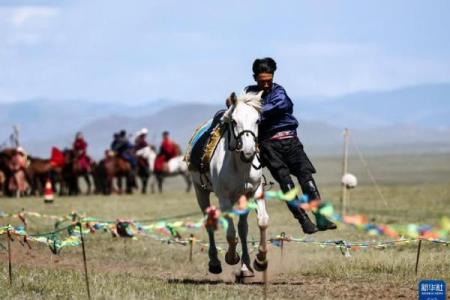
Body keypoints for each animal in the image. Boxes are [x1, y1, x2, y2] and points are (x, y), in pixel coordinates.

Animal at [189, 92, 268, 278]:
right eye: (234, 121)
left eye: (257, 120)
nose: (248, 151)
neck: (240, 166)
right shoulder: (224, 198)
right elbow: (231, 234)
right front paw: (231, 257)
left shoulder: (255, 191)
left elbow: (261, 221)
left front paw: (260, 260)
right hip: (200, 191)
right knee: (210, 223)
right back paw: (215, 263)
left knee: (243, 227)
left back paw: (246, 267)